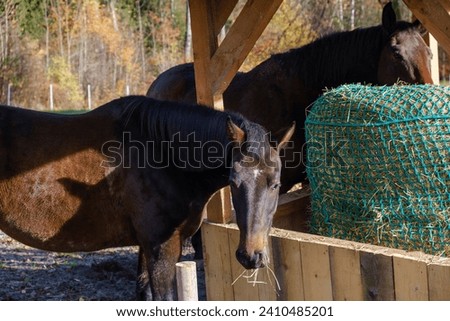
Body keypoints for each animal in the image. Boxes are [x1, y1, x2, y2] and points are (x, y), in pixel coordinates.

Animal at [0, 95, 296, 300]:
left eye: (275, 184)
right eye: (234, 182)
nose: (251, 256)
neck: (163, 156)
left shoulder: (145, 247)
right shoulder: (161, 249)